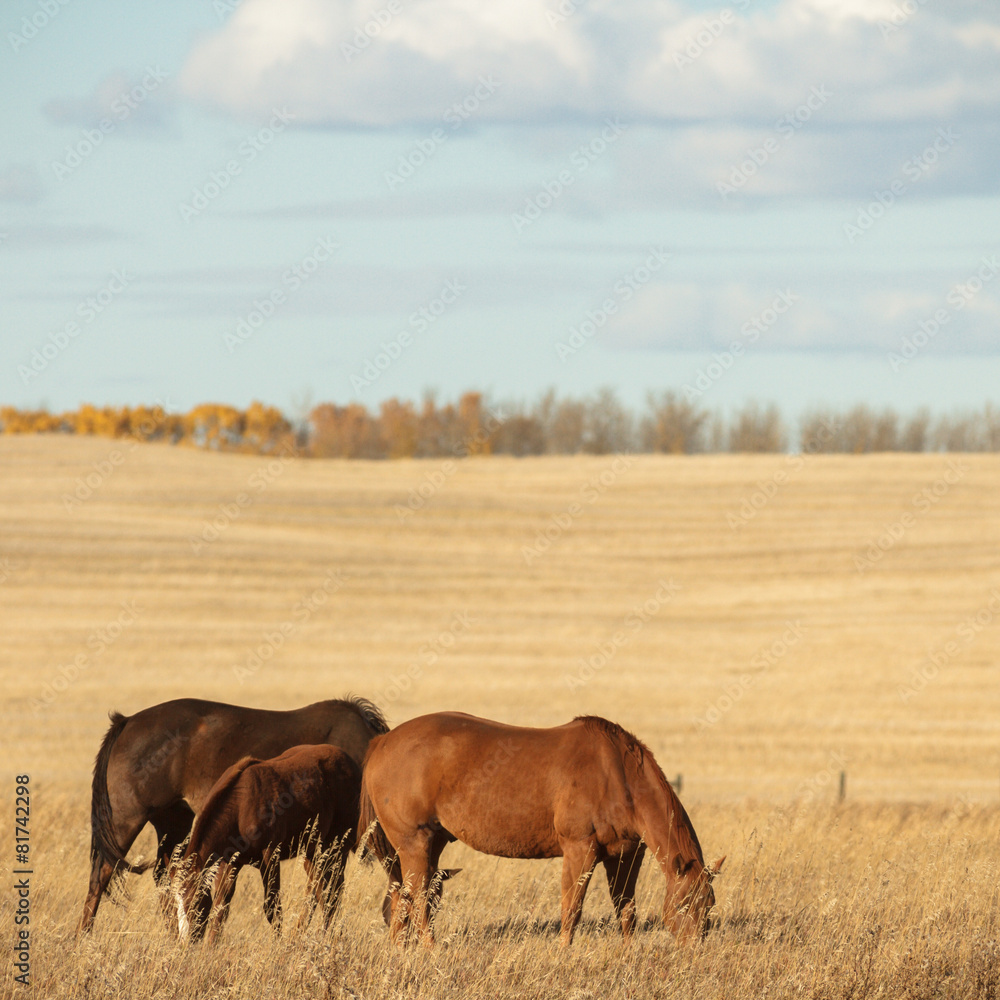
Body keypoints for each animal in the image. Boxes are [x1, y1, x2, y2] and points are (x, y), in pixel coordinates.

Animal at [171, 744, 361, 943]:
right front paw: (211, 945)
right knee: (317, 890)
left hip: (337, 848)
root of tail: (350, 763)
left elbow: (272, 907)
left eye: (192, 901)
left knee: (333, 891)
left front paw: (277, 943)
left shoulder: (270, 856)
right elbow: (221, 906)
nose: (184, 942)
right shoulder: (230, 862)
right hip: (313, 852)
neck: (241, 806)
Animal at [359, 712, 723, 947]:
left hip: (430, 844)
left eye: (709, 904)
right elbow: (572, 908)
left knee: (405, 896)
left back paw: (400, 950)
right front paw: (564, 953)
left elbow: (626, 909)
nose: (694, 951)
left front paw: (629, 953)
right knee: (419, 896)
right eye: (685, 904)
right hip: (414, 843)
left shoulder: (625, 856)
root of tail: (382, 742)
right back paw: (430, 949)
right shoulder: (580, 849)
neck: (617, 773)